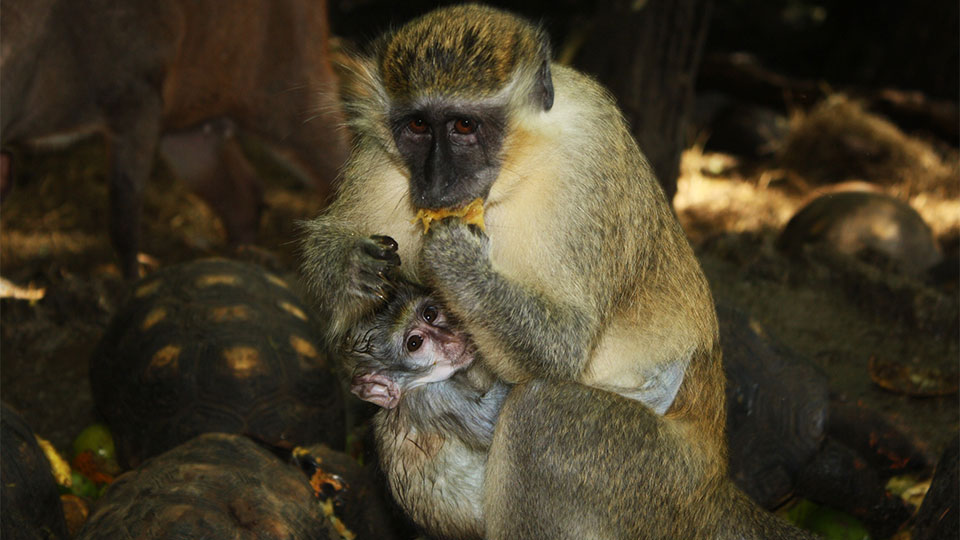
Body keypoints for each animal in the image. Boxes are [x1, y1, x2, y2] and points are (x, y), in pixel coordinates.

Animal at [299, 3, 726, 475]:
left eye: (465, 125)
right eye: (418, 125)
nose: (435, 182)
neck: (513, 172)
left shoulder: (590, 153)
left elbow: (562, 348)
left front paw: (454, 260)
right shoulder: (379, 157)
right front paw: (350, 264)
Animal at [343, 280, 818, 540]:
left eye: (431, 313)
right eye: (414, 343)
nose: (451, 340)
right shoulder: (434, 397)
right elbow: (495, 417)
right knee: (534, 408)